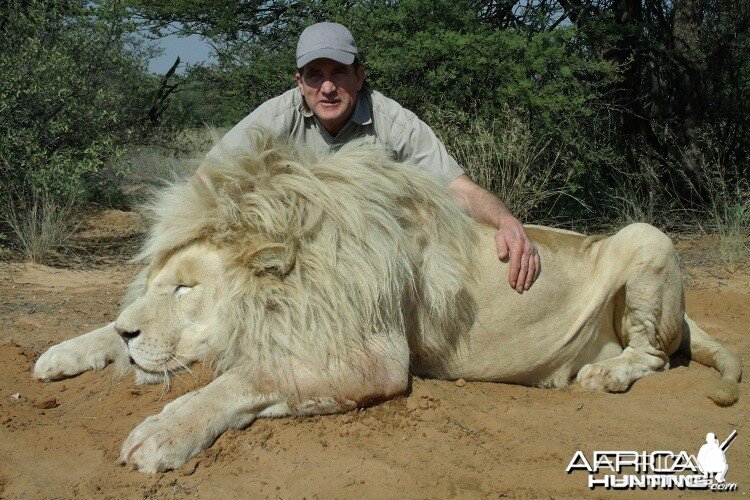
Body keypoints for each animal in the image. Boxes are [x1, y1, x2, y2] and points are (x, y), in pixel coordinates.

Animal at [33, 130, 740, 472]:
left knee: (654, 353)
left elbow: (245, 378)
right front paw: (66, 353)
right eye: (157, 283)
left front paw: (160, 434)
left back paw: (604, 374)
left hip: (648, 240)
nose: (130, 333)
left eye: (186, 287)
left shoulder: (371, 357)